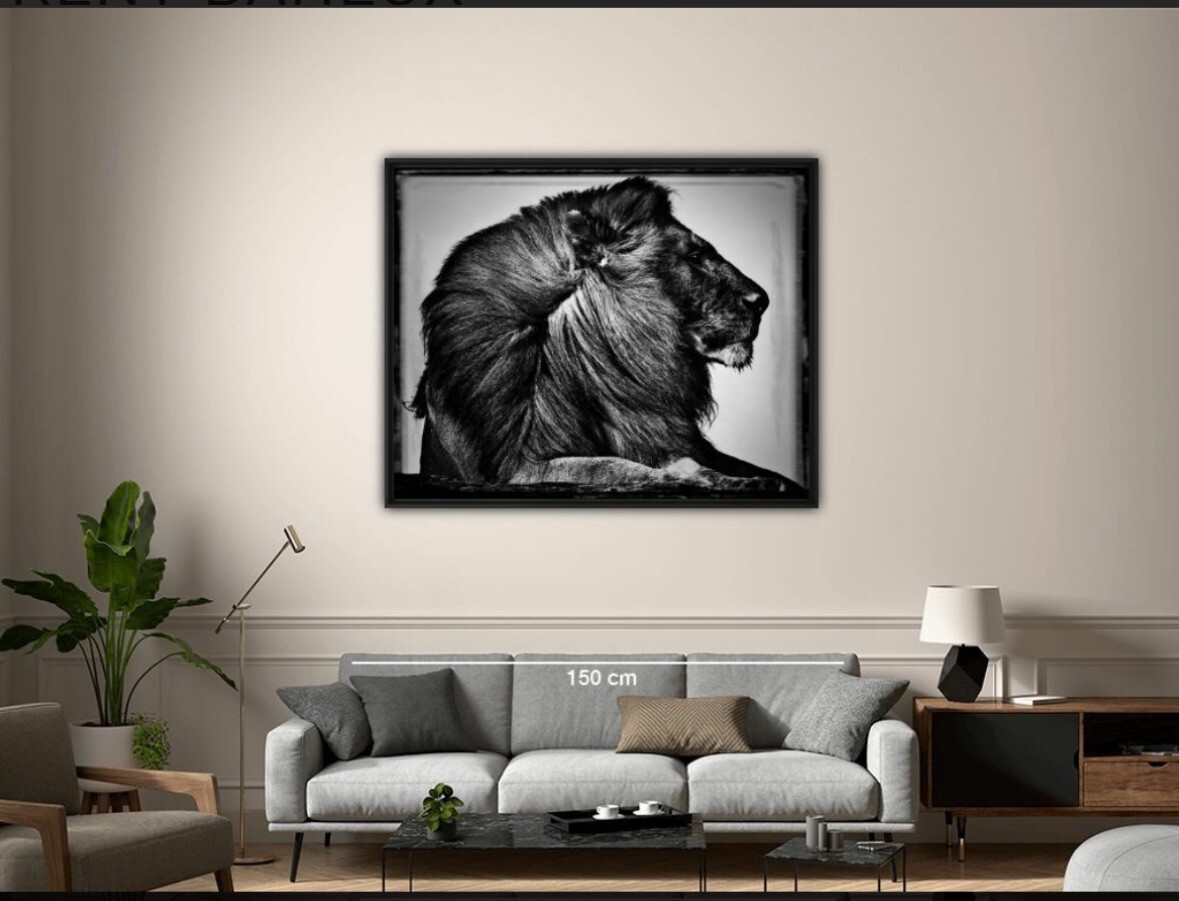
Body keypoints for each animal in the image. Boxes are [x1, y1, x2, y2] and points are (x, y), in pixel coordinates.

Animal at [410, 176, 804, 495]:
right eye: (693, 255)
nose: (762, 300)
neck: (608, 374)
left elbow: (690, 462)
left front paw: (751, 479)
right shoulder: (517, 471)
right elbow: (621, 468)